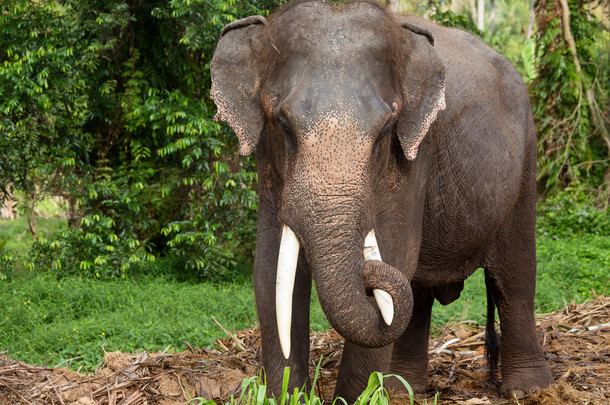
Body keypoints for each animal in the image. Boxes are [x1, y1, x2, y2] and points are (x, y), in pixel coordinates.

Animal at [209, 0, 552, 400]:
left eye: (385, 130)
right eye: (283, 125)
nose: (366, 273)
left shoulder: (413, 155)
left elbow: (395, 248)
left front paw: (354, 400)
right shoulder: (267, 164)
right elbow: (269, 271)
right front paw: (291, 397)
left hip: (526, 159)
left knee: (514, 276)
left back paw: (528, 390)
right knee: (417, 293)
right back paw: (403, 389)